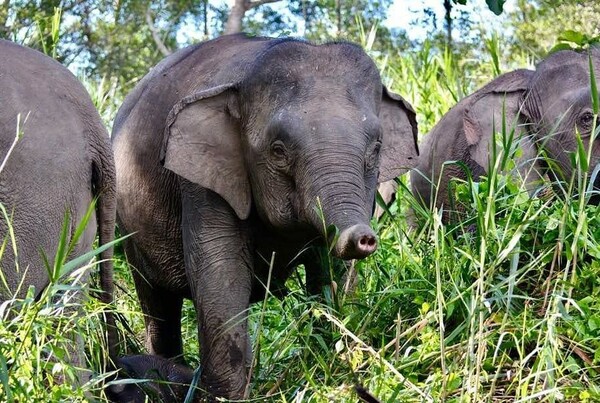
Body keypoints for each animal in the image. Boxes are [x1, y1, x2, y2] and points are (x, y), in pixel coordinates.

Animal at [110, 33, 418, 402]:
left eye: (376, 149)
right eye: (278, 151)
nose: (363, 237)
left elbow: (331, 273)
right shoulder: (204, 181)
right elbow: (222, 274)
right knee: (157, 304)